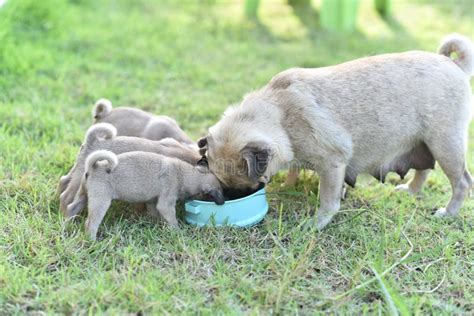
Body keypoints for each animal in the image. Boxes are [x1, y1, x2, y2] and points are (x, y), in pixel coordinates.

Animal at [65, 151, 225, 239]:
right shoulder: (166, 204)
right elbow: (172, 219)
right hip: (101, 202)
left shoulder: (152, 201)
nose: (223, 202)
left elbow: (154, 213)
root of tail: (95, 166)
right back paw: (92, 240)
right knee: (91, 223)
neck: (185, 174)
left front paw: (155, 224)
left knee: (72, 208)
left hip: (83, 195)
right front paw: (177, 232)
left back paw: (66, 225)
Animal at [198, 34, 472, 230]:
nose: (235, 195)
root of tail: (452, 63)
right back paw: (411, 190)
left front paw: (317, 223)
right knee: (424, 169)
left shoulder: (331, 164)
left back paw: (448, 212)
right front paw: (289, 184)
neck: (280, 114)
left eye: (248, 185)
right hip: (422, 142)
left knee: (461, 182)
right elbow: (294, 170)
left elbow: (328, 200)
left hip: (445, 144)